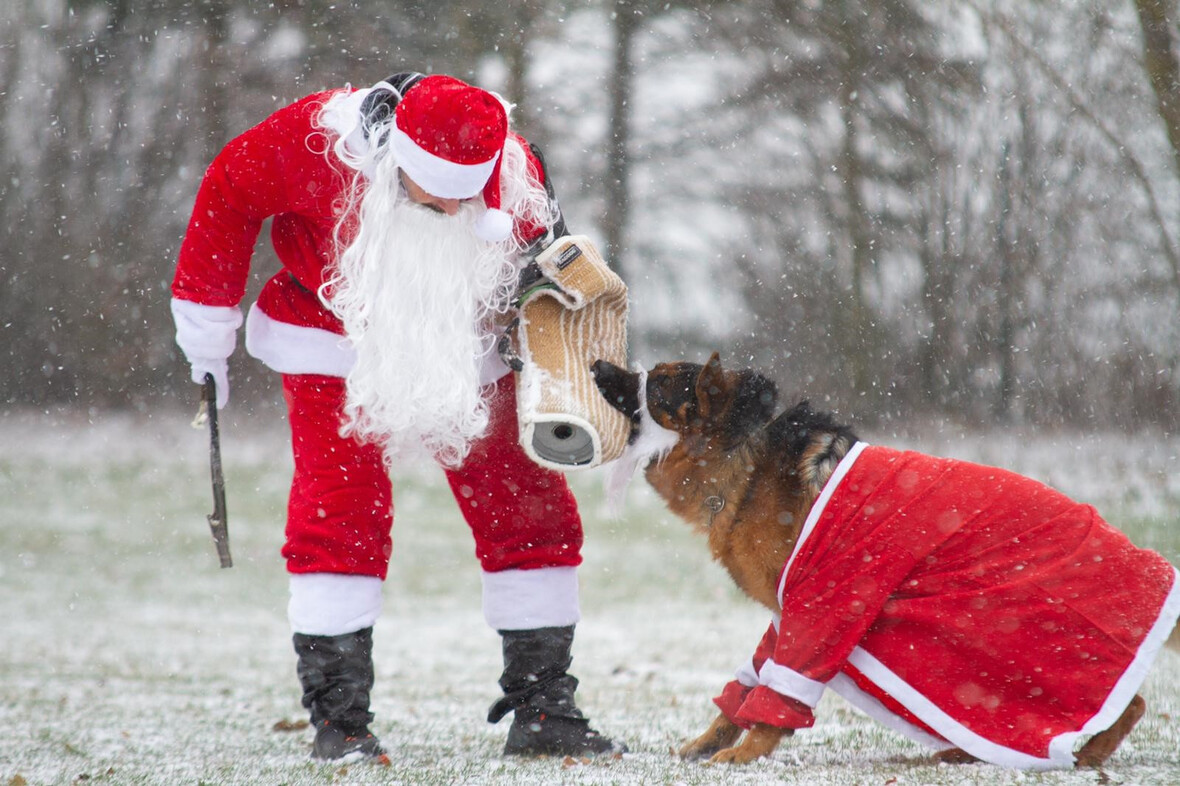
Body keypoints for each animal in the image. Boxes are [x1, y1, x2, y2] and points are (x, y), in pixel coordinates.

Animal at [594, 354, 1180, 764]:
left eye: (657, 383)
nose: (598, 365)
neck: (745, 460)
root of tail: (1145, 559)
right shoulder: (788, 613)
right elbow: (753, 678)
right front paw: (711, 739)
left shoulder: (821, 605)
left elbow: (781, 690)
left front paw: (748, 750)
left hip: (1012, 627)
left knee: (1127, 703)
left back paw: (1081, 756)